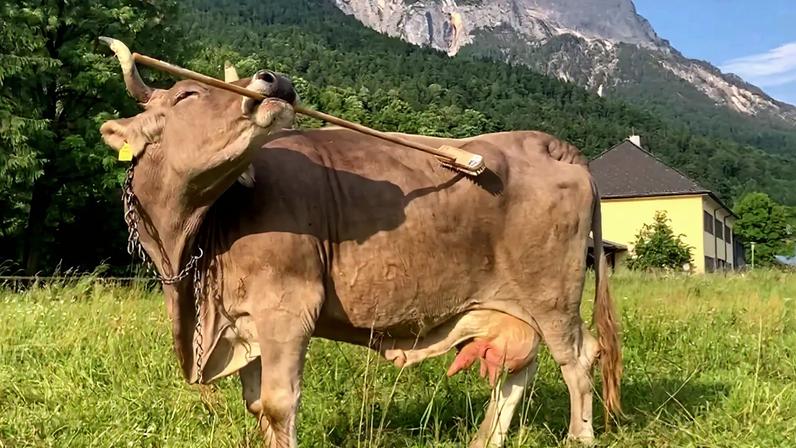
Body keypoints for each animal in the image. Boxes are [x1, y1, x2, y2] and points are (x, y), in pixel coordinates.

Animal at [99, 38, 621, 448]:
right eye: (187, 93)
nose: (274, 79)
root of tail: (547, 143)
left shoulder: (288, 308)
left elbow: (277, 404)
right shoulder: (242, 322)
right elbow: (256, 405)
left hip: (552, 295)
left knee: (577, 358)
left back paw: (579, 436)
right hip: (513, 304)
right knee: (520, 367)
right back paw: (485, 439)